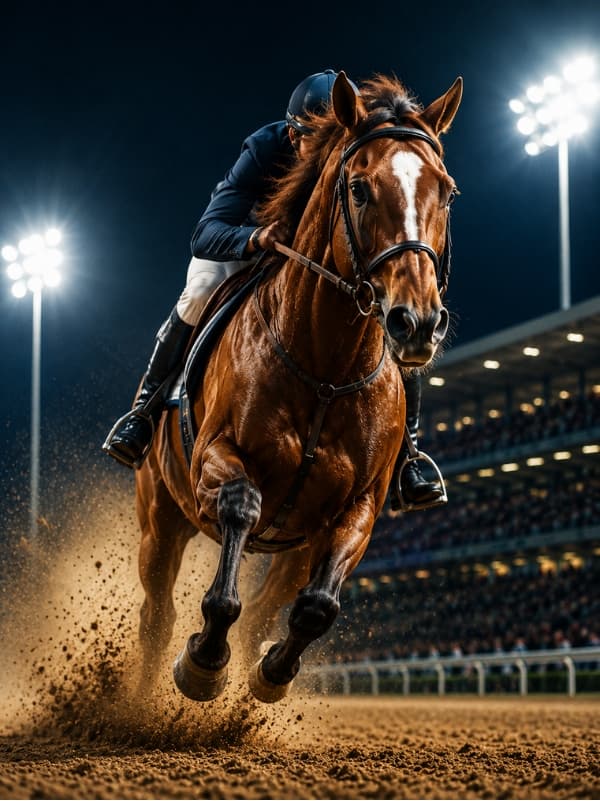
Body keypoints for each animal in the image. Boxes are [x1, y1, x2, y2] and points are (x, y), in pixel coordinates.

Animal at [135, 71, 462, 703]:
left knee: (266, 608)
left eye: (448, 192)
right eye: (359, 189)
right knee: (156, 615)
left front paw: (268, 676)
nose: (417, 322)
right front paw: (203, 662)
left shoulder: (354, 511)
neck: (327, 369)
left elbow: (316, 606)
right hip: (160, 516)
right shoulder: (215, 460)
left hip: (290, 549)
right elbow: (240, 509)